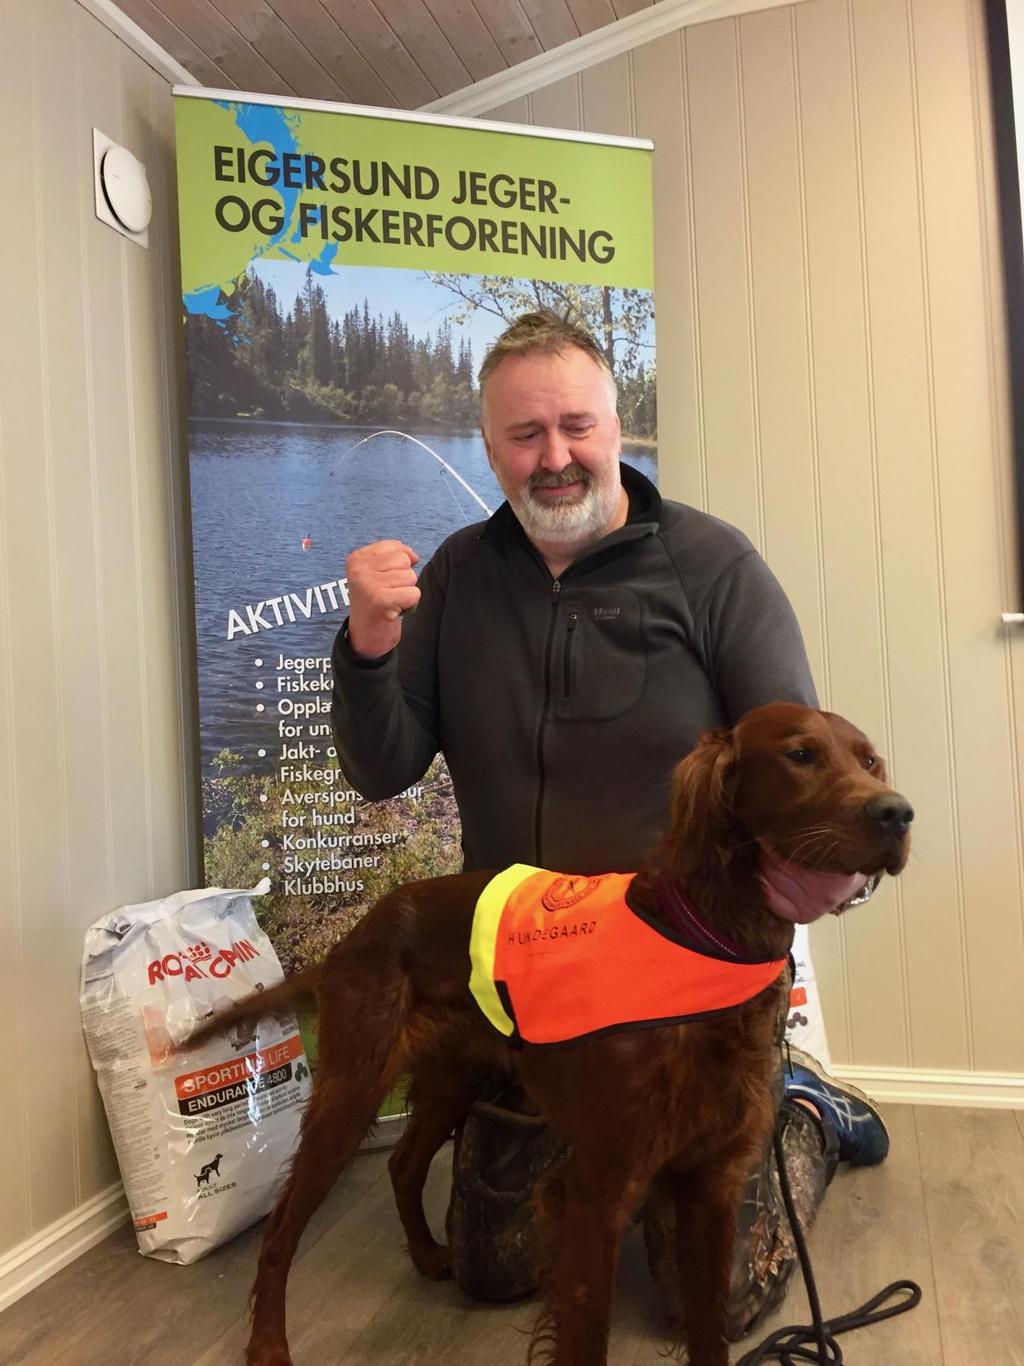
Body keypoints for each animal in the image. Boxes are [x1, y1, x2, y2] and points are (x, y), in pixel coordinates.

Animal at [191, 704, 912, 1366]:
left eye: (869, 760)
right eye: (800, 755)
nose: (898, 813)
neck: (706, 944)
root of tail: (356, 933)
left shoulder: (711, 1185)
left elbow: (708, 1327)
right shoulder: (594, 1191)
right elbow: (585, 1335)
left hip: (451, 1081)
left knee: (401, 1161)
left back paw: (427, 1254)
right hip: (352, 1090)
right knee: (281, 1227)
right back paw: (267, 1346)